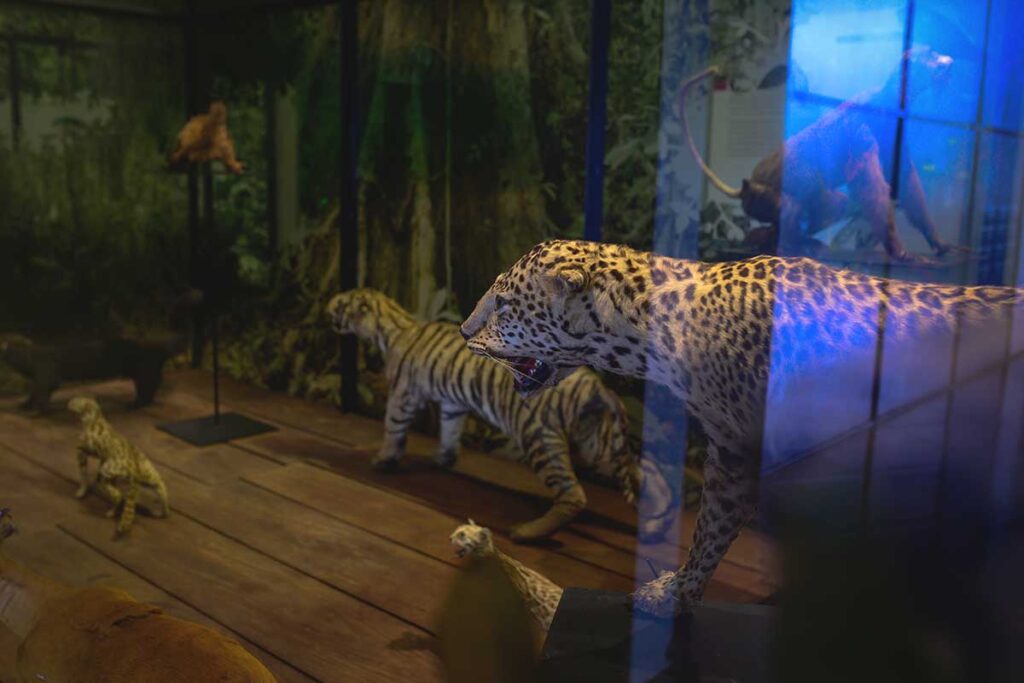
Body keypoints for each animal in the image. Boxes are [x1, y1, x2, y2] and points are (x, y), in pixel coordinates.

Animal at [68, 397, 168, 536]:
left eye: (75, 401)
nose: (69, 403)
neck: (95, 415)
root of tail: (134, 471)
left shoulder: (81, 451)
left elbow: (83, 474)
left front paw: (81, 490)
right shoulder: (103, 457)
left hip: (107, 472)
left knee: (118, 495)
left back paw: (112, 511)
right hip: (149, 473)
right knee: (162, 487)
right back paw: (164, 511)